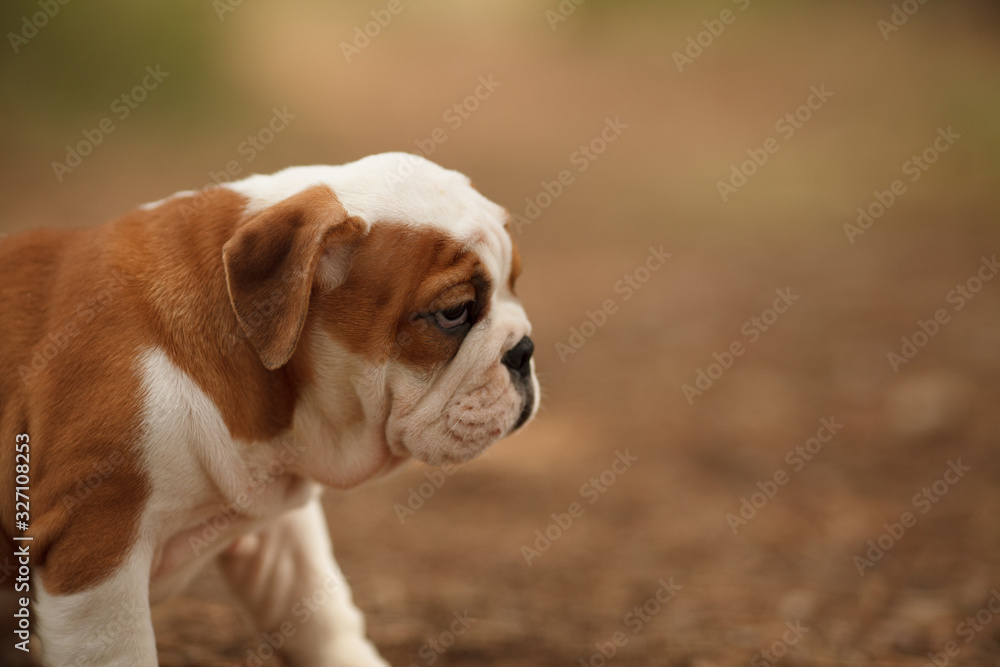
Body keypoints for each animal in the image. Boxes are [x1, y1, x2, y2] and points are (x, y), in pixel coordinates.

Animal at [0, 154, 540, 664]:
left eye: (515, 284)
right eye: (454, 312)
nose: (524, 350)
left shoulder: (279, 522)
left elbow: (320, 611)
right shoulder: (96, 541)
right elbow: (119, 651)